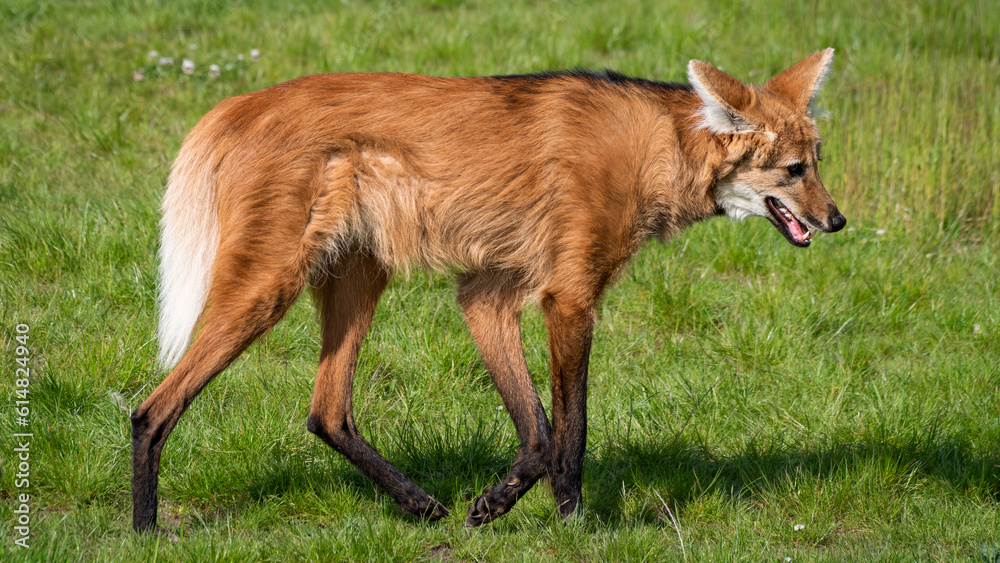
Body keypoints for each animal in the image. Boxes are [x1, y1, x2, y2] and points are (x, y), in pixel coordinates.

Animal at [132, 49, 845, 532]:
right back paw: (145, 531)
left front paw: (494, 506)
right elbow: (570, 430)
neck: (660, 150)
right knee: (152, 409)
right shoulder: (570, 298)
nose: (837, 220)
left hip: (360, 273)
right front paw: (573, 527)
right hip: (267, 286)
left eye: (816, 163)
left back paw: (421, 504)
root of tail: (239, 104)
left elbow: (537, 431)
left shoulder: (489, 293)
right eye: (794, 170)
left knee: (327, 411)